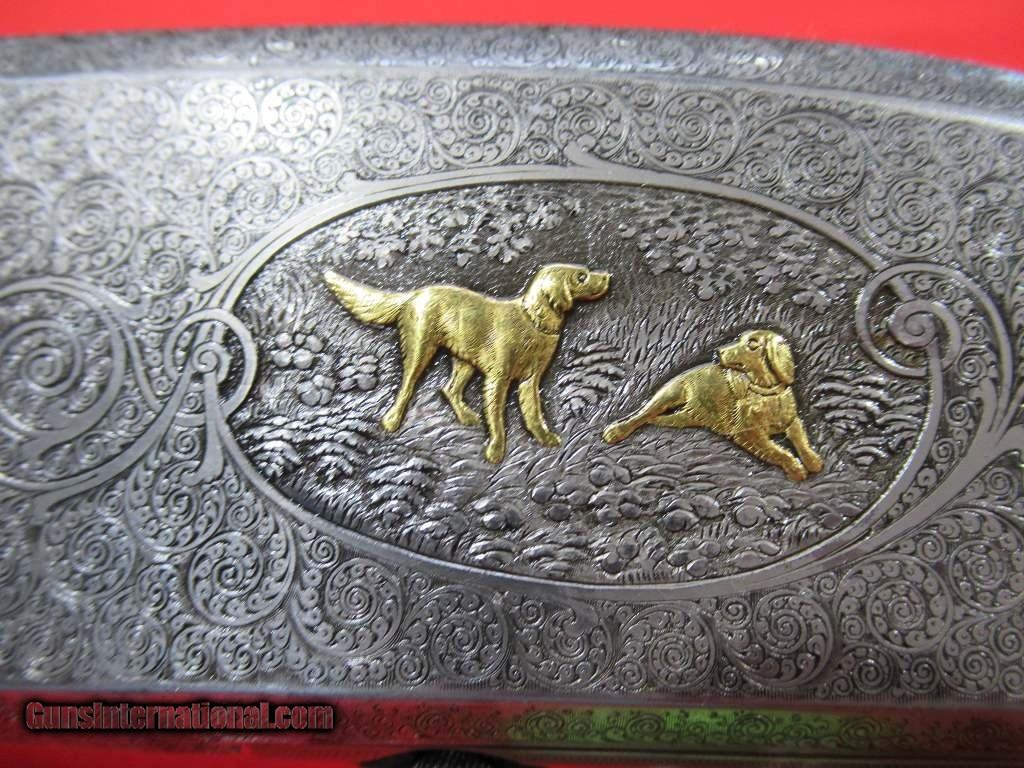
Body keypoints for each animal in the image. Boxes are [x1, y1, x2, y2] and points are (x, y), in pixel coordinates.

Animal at [324, 264, 610, 463]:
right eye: (581, 277)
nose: (607, 276)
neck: (532, 321)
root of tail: (415, 294)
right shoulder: (497, 379)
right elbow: (497, 418)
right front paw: (496, 450)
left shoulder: (530, 381)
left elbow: (533, 414)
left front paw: (544, 437)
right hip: (421, 349)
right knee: (407, 386)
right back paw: (392, 421)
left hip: (465, 361)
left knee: (448, 389)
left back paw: (464, 415)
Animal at [602, 330, 822, 481]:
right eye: (740, 338)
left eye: (752, 343)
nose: (719, 352)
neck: (766, 394)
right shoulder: (747, 434)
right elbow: (778, 451)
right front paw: (795, 468)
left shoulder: (792, 421)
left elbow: (801, 440)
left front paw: (812, 459)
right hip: (669, 394)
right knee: (642, 414)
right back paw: (616, 430)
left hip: (686, 416)